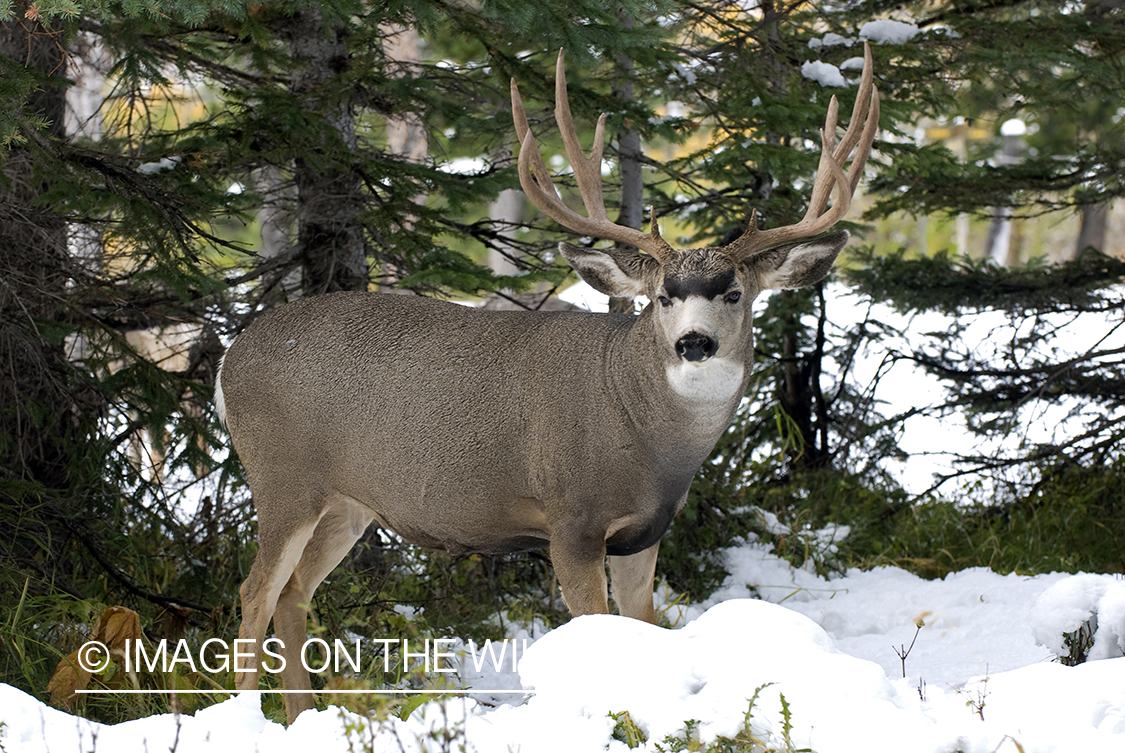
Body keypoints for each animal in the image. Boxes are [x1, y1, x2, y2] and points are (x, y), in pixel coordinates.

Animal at [216, 46, 878, 722]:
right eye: (663, 297)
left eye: (735, 293)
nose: (694, 342)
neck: (645, 434)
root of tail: (229, 358)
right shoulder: (571, 520)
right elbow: (596, 631)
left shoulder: (645, 532)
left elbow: (642, 627)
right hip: (283, 478)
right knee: (253, 591)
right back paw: (244, 716)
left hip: (348, 502)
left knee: (293, 594)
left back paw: (303, 717)